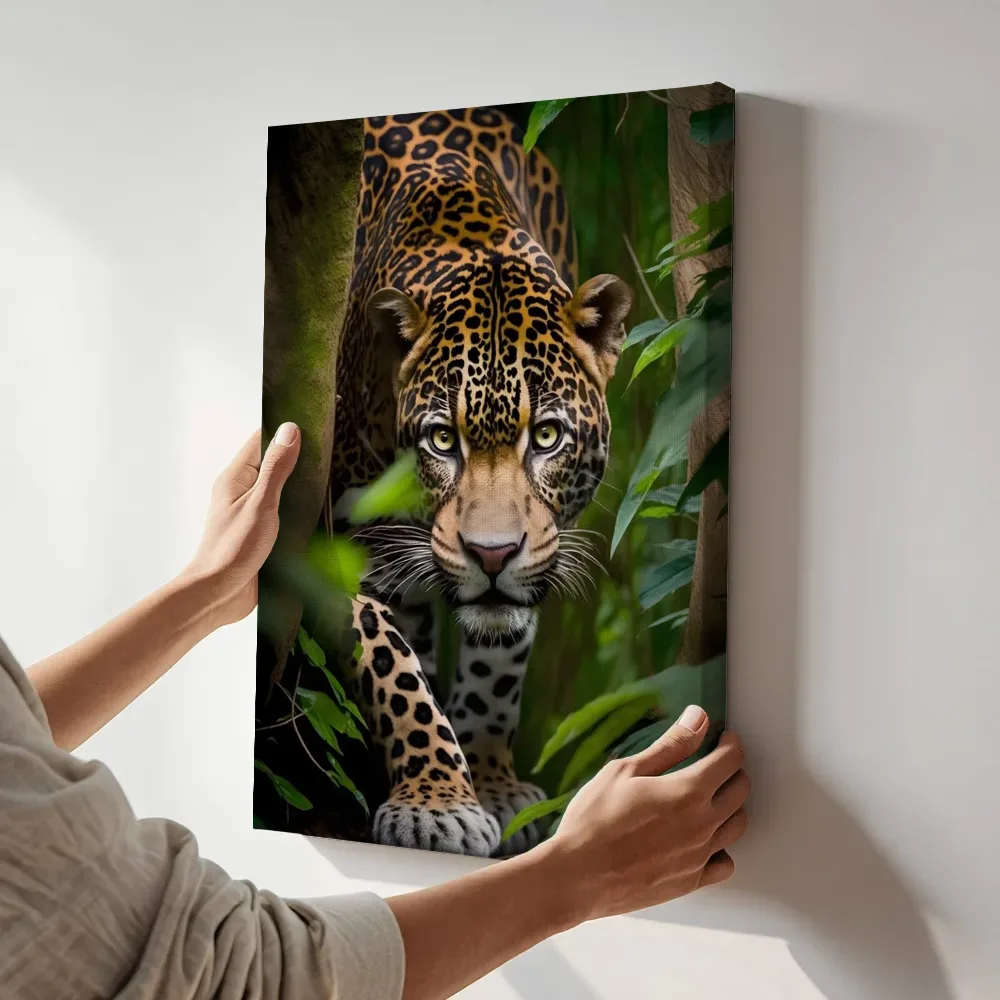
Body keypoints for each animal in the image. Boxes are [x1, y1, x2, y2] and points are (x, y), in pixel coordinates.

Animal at [327, 107, 632, 857]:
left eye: (546, 437)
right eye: (442, 440)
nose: (491, 556)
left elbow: (498, 669)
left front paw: (490, 782)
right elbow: (392, 663)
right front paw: (437, 802)